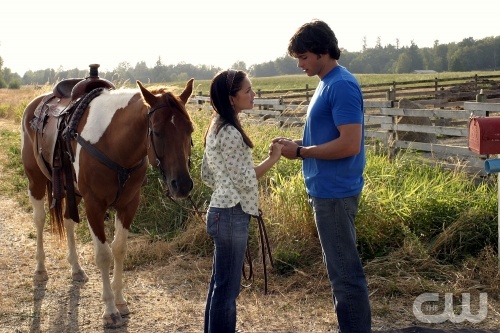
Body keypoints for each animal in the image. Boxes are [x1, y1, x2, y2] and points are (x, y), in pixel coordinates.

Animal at [21, 68, 194, 326]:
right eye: (157, 132)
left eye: (190, 130)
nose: (182, 185)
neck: (113, 144)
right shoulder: (95, 205)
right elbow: (103, 255)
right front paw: (110, 310)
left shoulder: (129, 205)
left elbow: (119, 249)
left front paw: (120, 301)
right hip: (36, 181)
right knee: (39, 219)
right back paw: (40, 269)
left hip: (72, 191)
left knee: (68, 220)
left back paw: (76, 269)